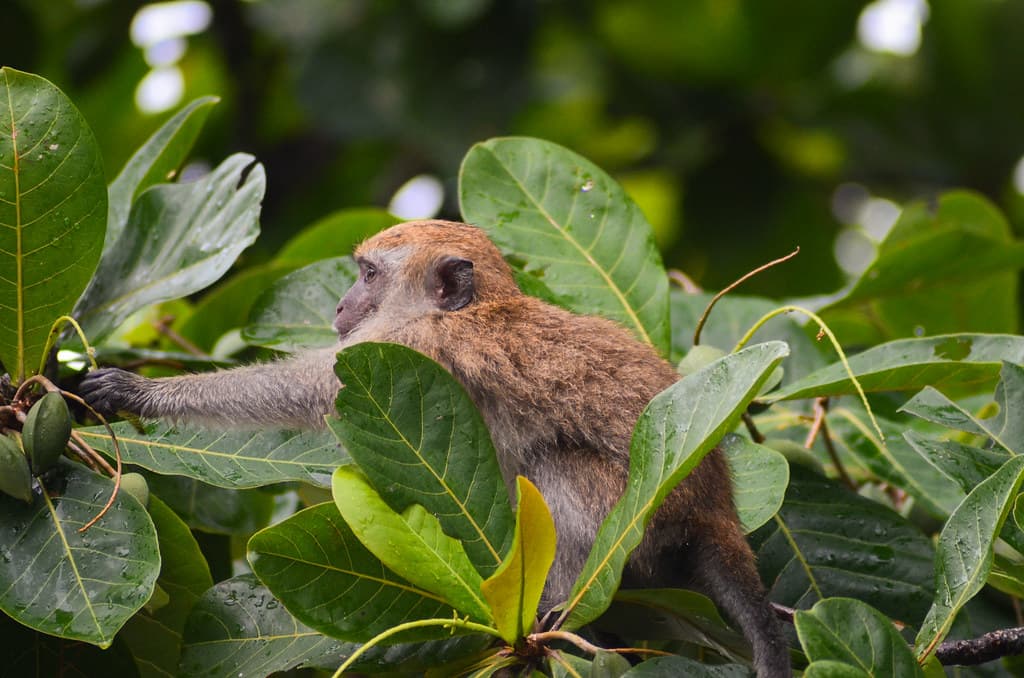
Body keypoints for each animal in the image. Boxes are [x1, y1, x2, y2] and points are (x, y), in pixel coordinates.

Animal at [80, 220, 790, 677]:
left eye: (368, 274)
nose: (341, 305)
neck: (465, 309)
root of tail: (715, 507)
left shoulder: (405, 347)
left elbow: (310, 387)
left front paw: (142, 391)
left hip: (641, 521)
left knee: (558, 463)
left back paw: (552, 611)